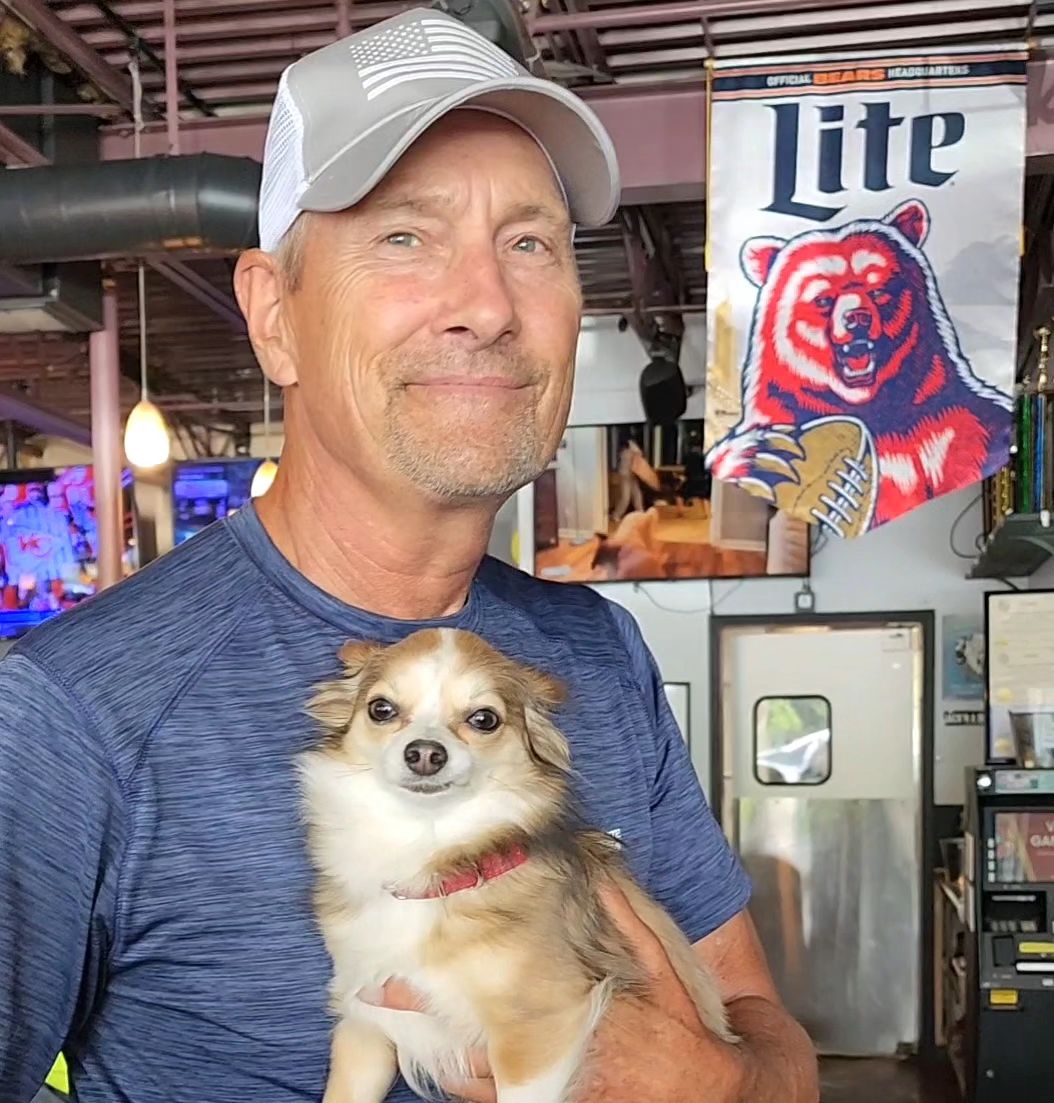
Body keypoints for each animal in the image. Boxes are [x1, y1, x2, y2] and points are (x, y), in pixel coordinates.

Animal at [297, 630, 732, 1103]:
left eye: (484, 719)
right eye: (381, 709)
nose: (425, 753)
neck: (428, 850)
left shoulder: (535, 1032)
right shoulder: (365, 1021)